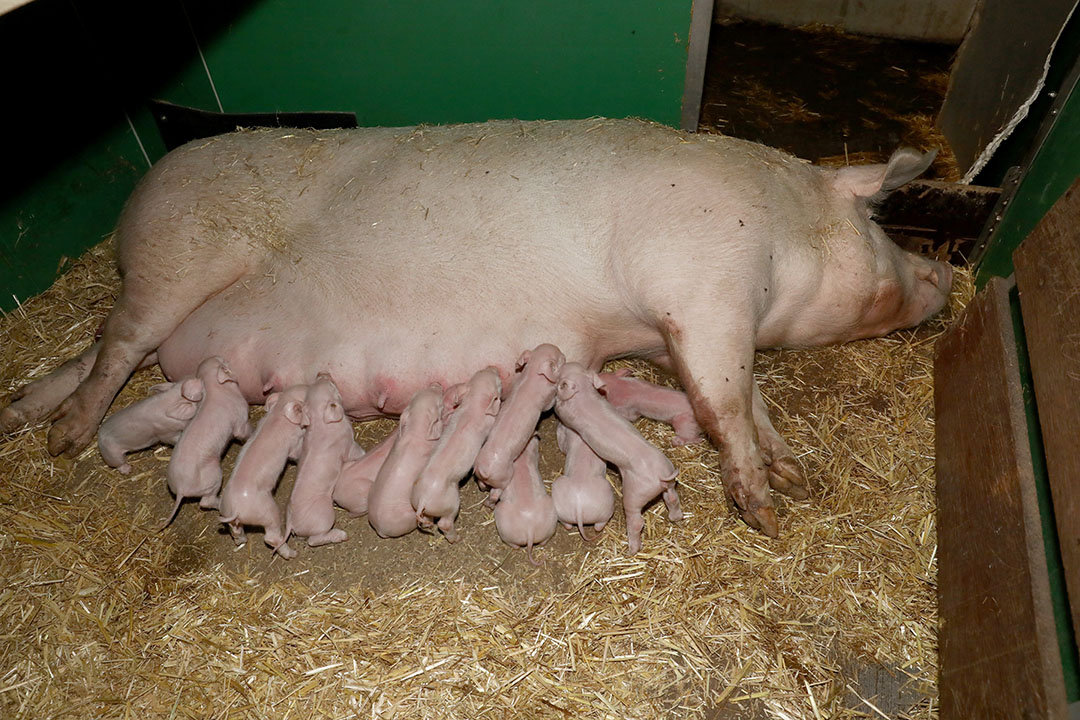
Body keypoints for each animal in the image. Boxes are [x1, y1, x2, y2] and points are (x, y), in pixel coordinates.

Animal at [0, 118, 950, 537]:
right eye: (881, 228)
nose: (944, 273)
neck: (786, 228)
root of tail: (144, 190)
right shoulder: (700, 283)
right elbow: (724, 401)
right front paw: (764, 511)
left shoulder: (687, 329)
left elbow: (749, 400)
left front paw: (795, 476)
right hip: (174, 262)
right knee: (115, 349)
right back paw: (62, 440)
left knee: (94, 347)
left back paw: (22, 414)